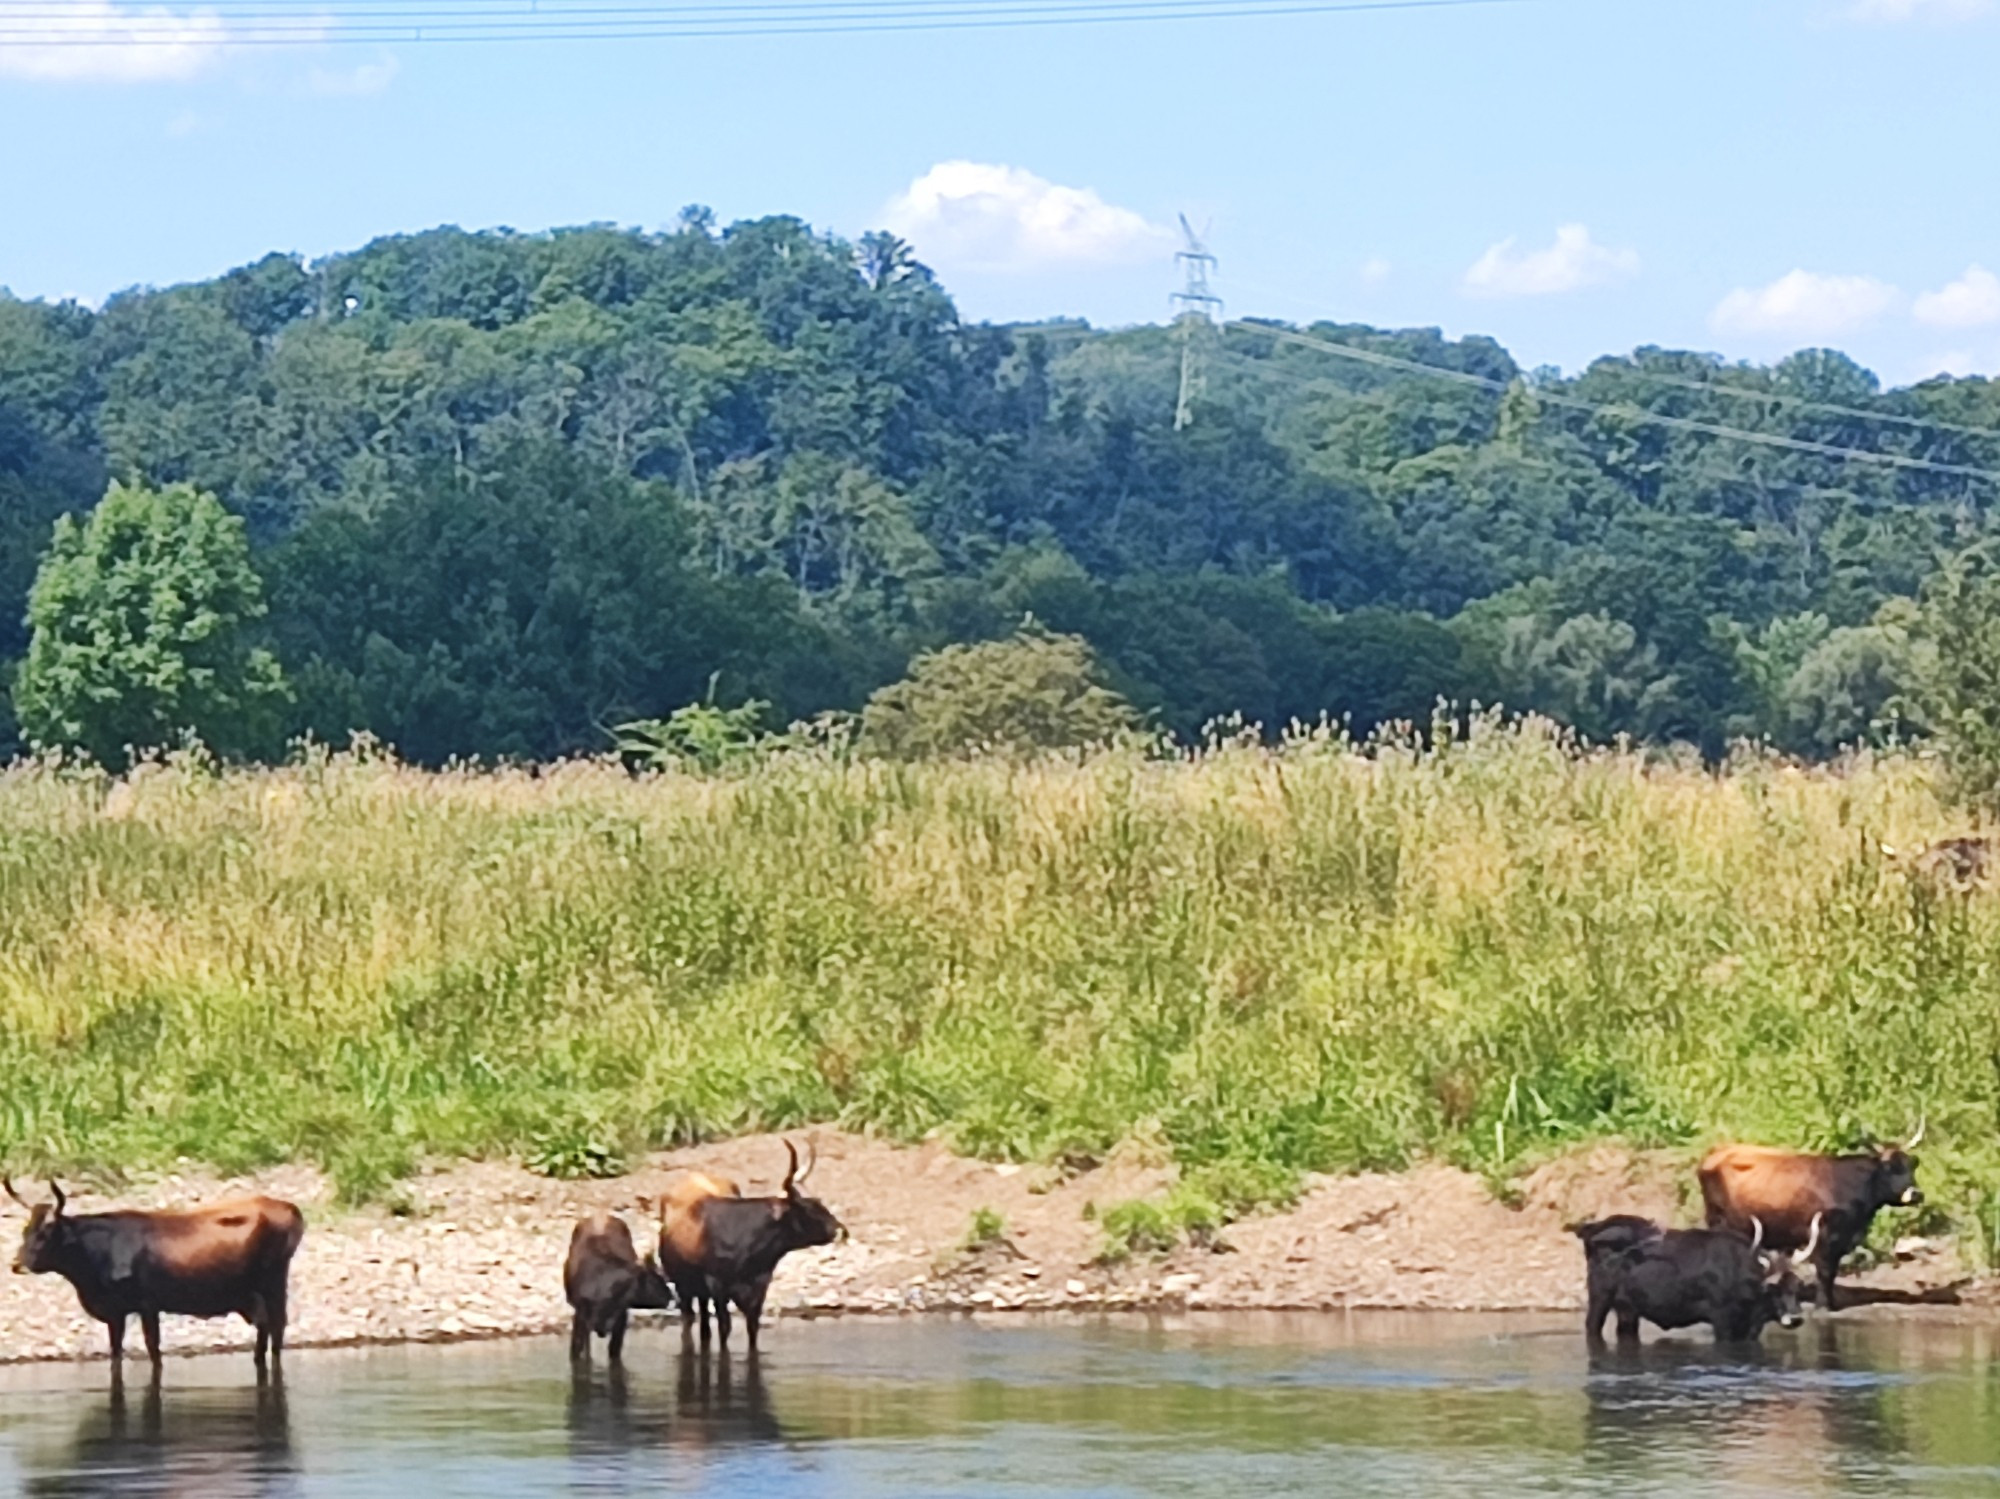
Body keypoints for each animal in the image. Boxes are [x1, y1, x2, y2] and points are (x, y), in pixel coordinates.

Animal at [6, 1183, 304, 1383]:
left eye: (46, 1233)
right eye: (25, 1230)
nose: (17, 1264)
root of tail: (287, 1207)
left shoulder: (147, 1304)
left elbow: (153, 1348)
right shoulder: (116, 1312)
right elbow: (115, 1352)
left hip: (273, 1282)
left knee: (277, 1327)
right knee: (266, 1326)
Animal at [560, 1215, 676, 1367]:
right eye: (656, 1280)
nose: (672, 1297)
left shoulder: (621, 1316)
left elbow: (614, 1352)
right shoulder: (580, 1315)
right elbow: (578, 1351)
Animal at [1568, 1223, 1824, 1351]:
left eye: (1797, 1286)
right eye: (1773, 1287)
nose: (1795, 1317)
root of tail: (1590, 1234)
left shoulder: (1750, 1328)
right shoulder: (1721, 1319)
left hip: (1628, 1309)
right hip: (1599, 1299)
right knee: (1591, 1328)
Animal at [1704, 1127, 1920, 1311]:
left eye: (1912, 1166)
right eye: (1889, 1168)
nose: (1917, 1194)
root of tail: (1716, 1151)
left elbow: (1831, 1273)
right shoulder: (1823, 1236)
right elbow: (1825, 1272)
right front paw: (1823, 1306)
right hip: (1718, 1221)